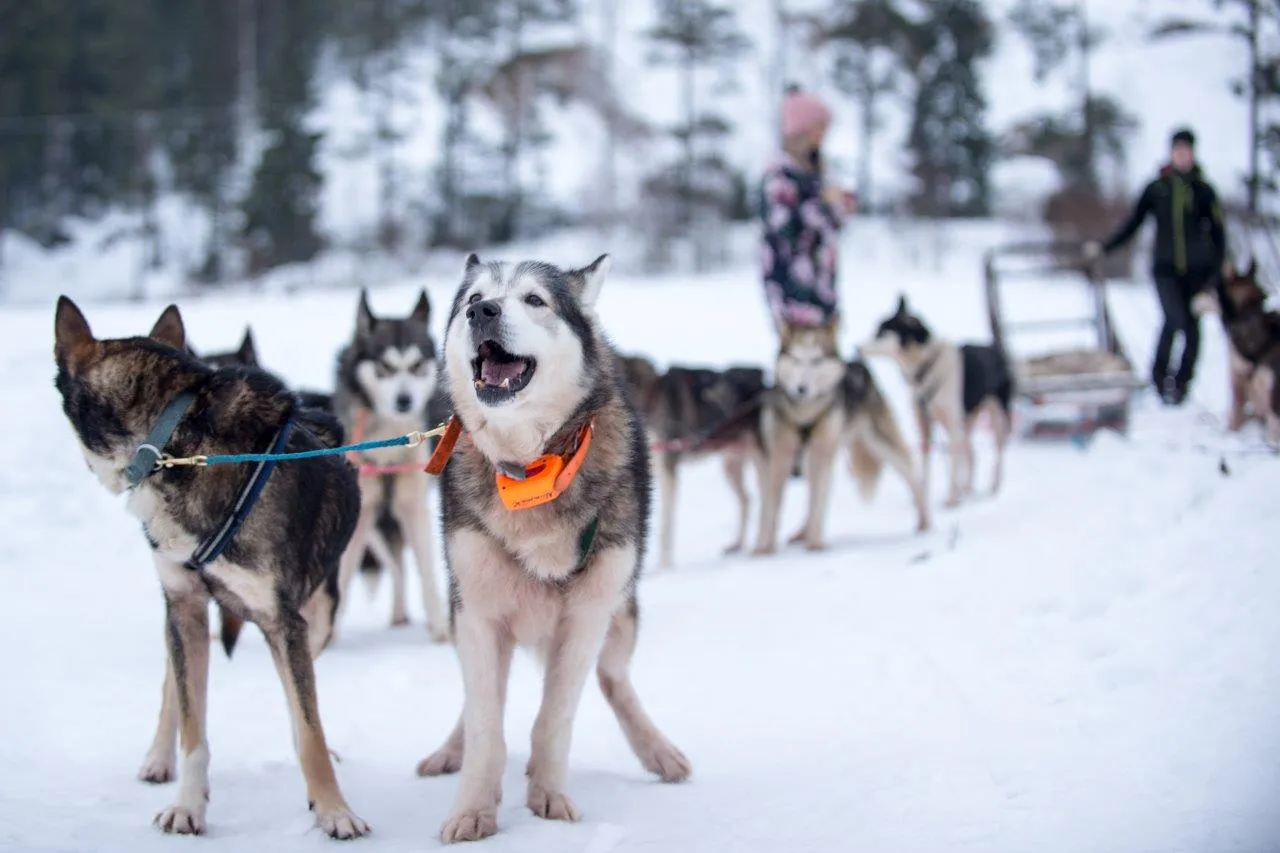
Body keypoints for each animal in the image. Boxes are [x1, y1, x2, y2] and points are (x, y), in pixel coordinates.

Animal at [417, 251, 691, 835]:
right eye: (473, 298)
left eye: (534, 300)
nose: (483, 312)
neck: (528, 468)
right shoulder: (477, 613)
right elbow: (484, 723)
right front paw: (474, 808)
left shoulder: (586, 617)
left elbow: (555, 716)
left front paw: (548, 794)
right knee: (476, 699)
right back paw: (449, 751)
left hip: (621, 612)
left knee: (614, 680)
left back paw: (657, 750)